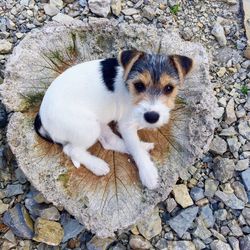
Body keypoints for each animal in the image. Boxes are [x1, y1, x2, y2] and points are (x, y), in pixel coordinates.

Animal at [34, 49, 192, 188]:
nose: (152, 117)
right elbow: (135, 148)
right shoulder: (126, 125)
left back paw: (143, 146)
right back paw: (97, 165)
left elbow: (134, 142)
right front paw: (148, 173)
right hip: (87, 127)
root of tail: (41, 117)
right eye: (139, 85)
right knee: (71, 150)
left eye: (169, 88)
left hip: (99, 123)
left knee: (109, 141)